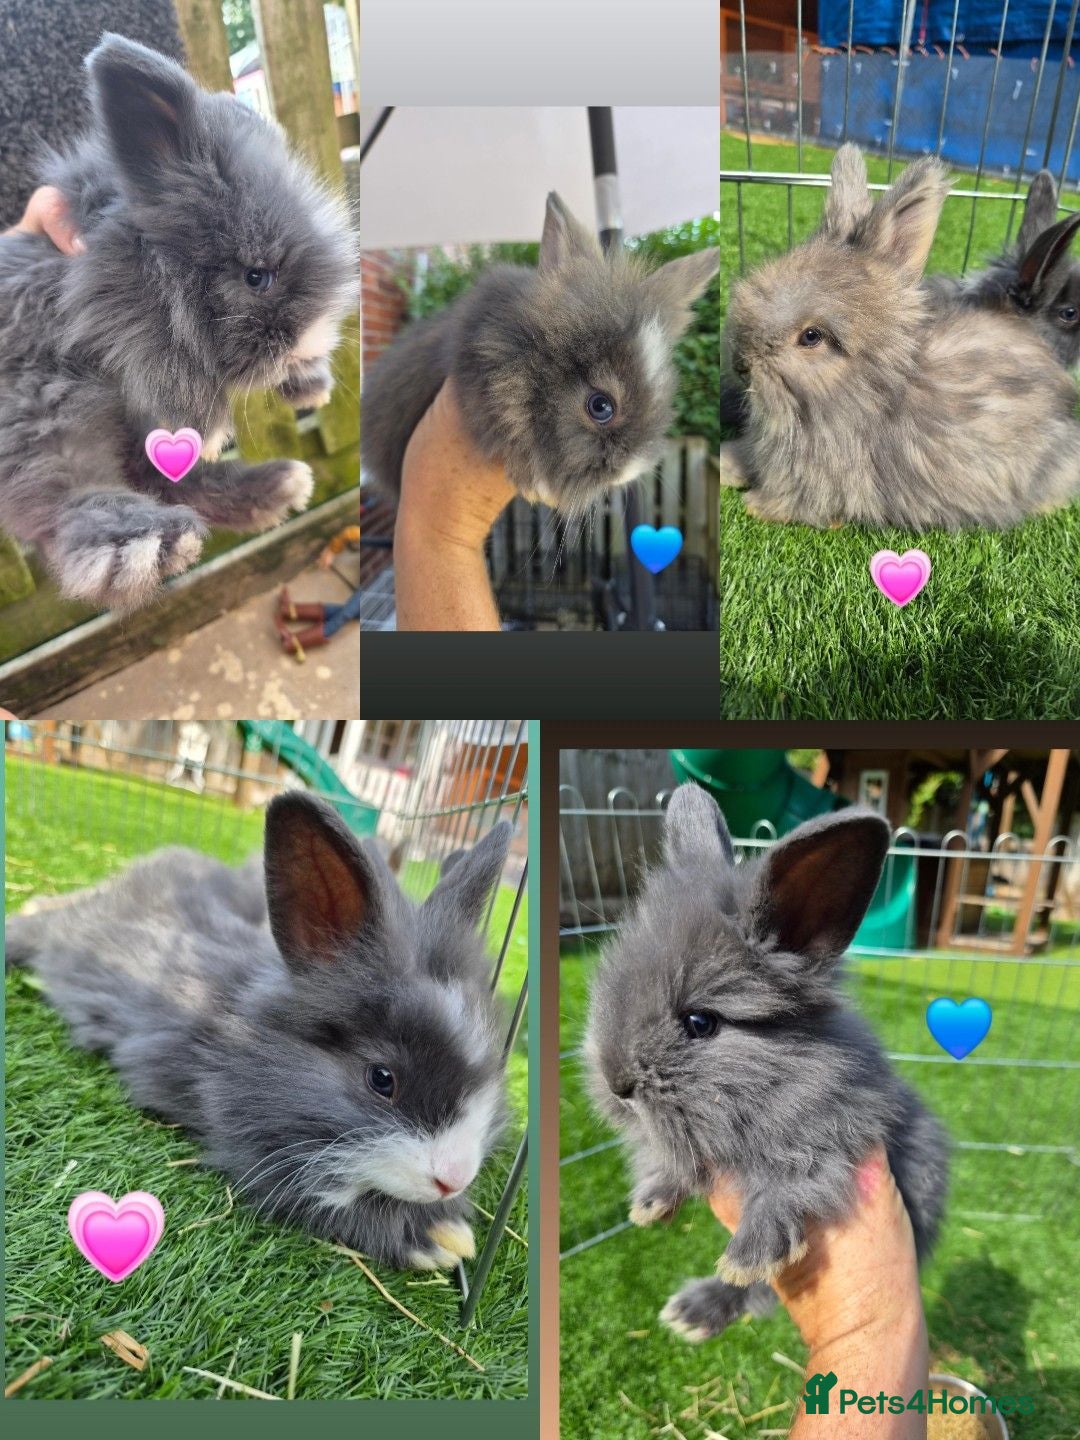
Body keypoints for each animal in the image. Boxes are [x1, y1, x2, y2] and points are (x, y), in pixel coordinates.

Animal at [0, 35, 356, 613]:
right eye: (256, 276)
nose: (308, 341)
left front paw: (310, 384)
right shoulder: (101, 288)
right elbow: (162, 346)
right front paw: (206, 427)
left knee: (155, 475)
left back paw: (277, 489)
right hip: (39, 400)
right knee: (62, 491)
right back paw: (142, 545)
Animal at [6, 794, 513, 1271]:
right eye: (381, 1079)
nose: (455, 1178)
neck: (248, 1036)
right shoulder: (250, 1146)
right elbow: (320, 1199)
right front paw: (440, 1236)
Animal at [585, 784, 949, 1343]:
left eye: (700, 1022)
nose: (616, 1084)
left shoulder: (838, 1139)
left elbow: (791, 1189)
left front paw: (748, 1256)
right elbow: (672, 1164)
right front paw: (649, 1203)